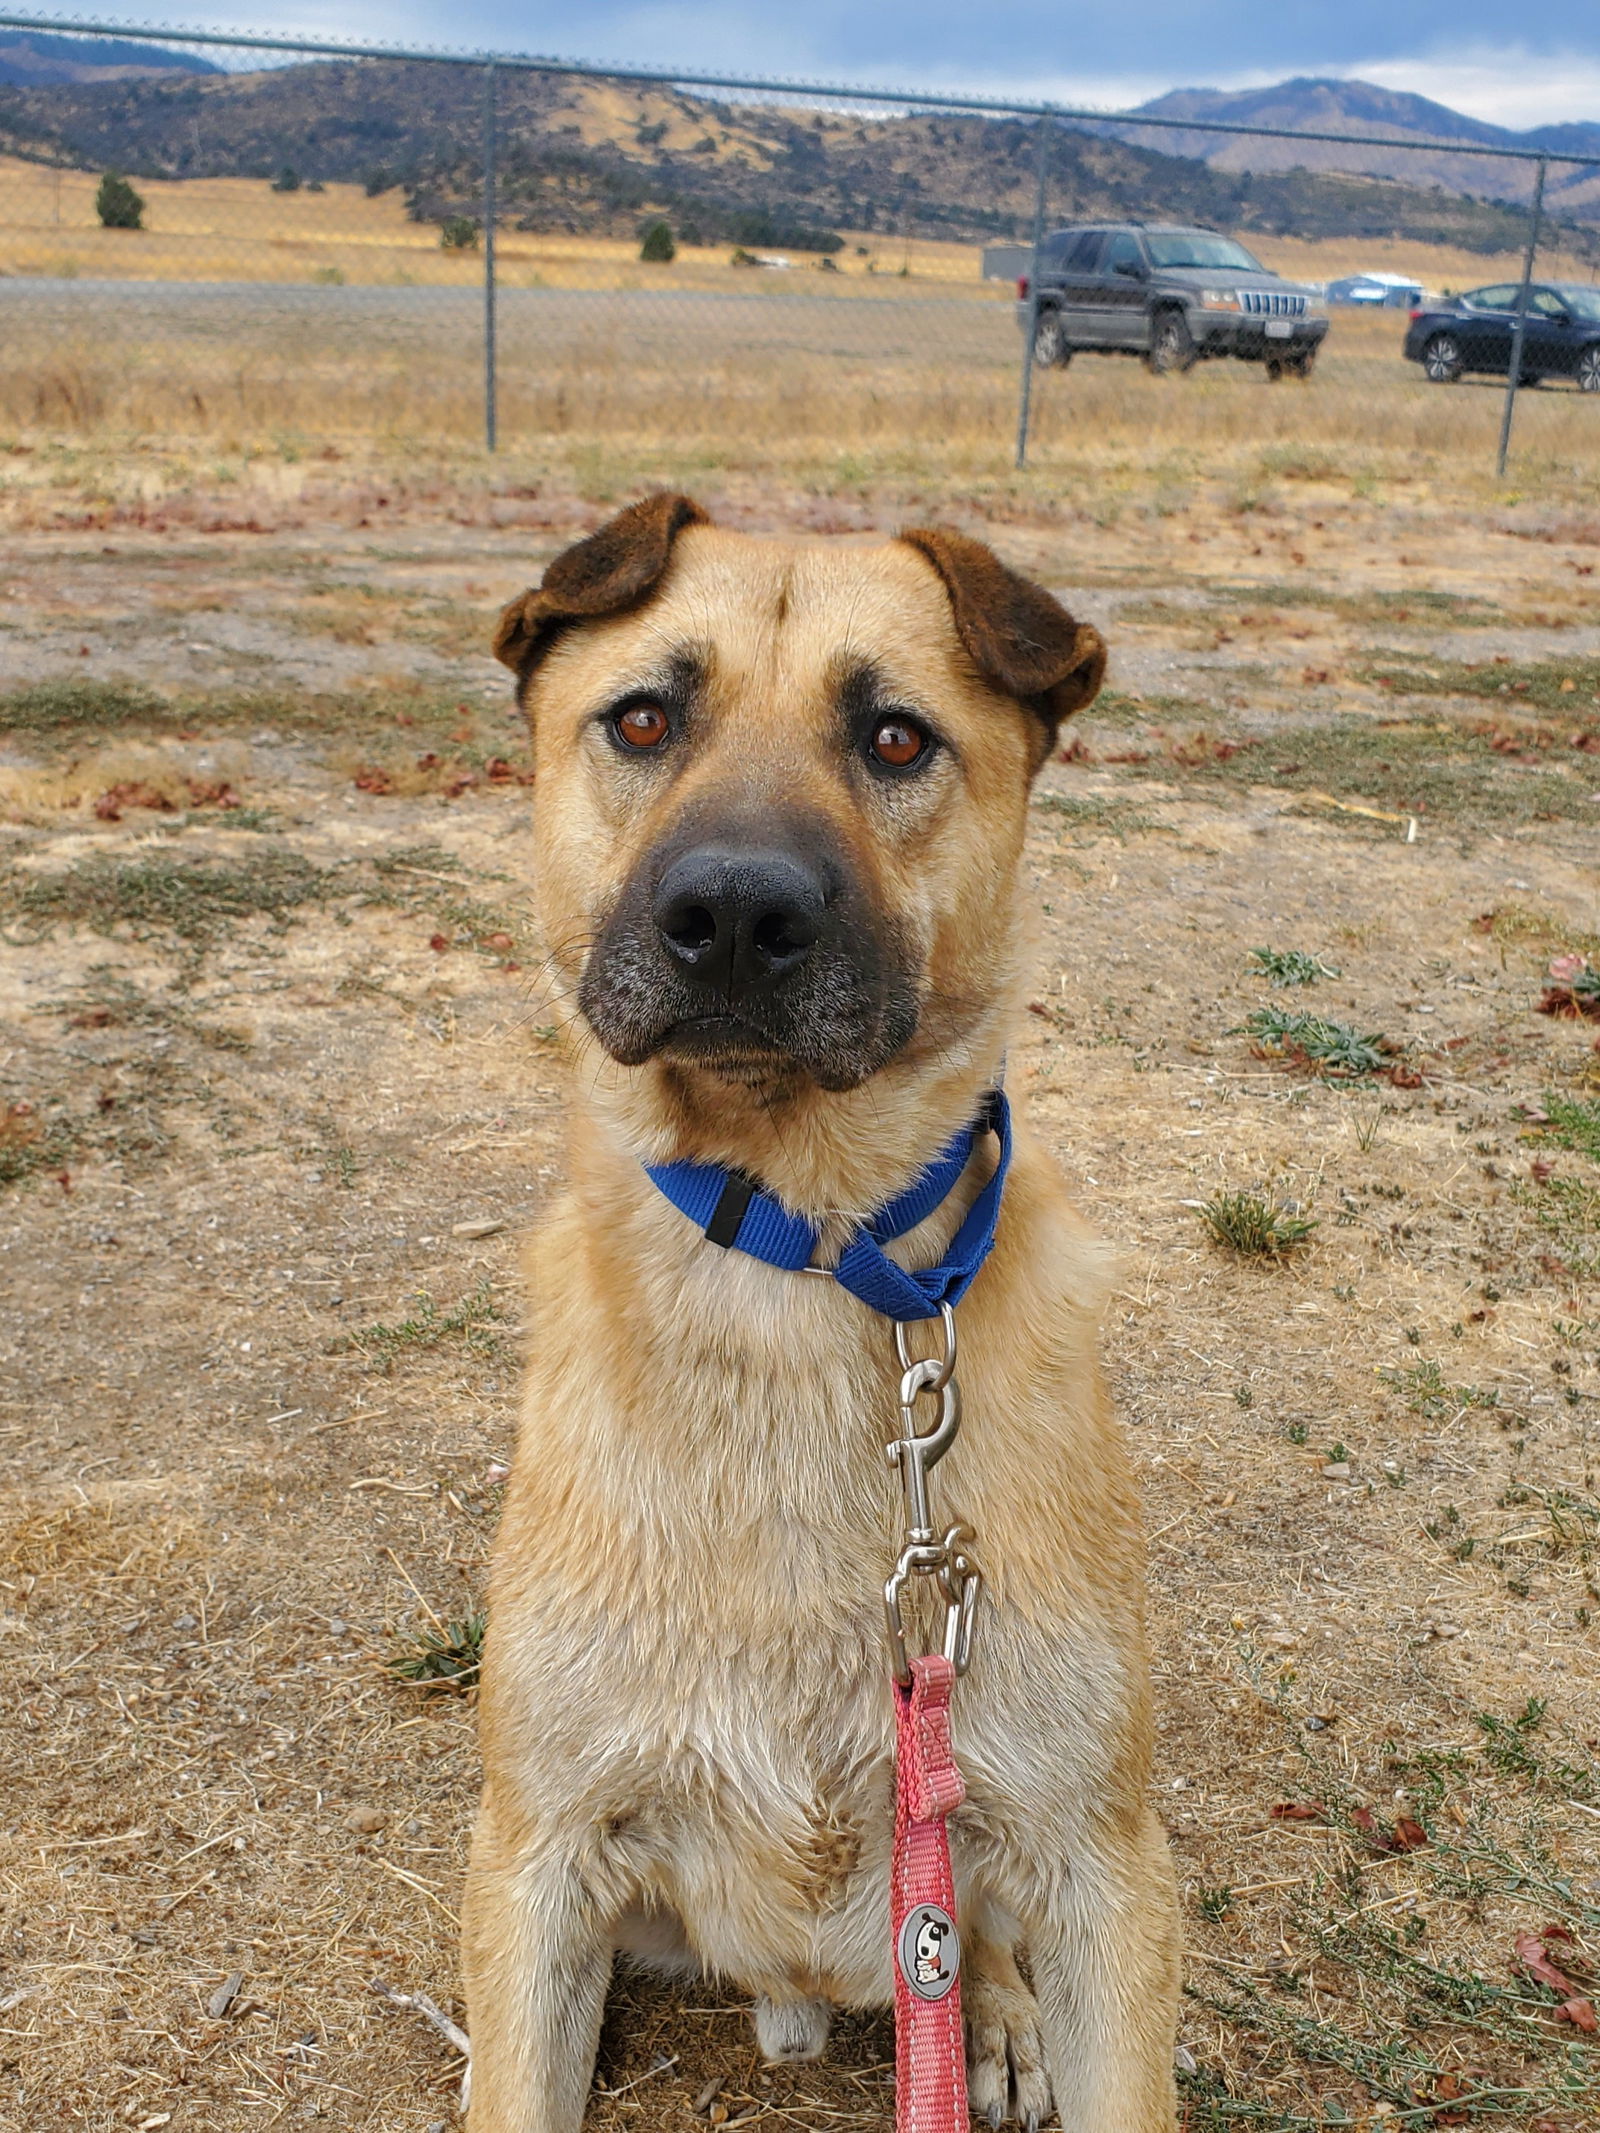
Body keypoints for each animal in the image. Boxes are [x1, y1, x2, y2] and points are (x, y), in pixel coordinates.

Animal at [460, 494, 1177, 2133]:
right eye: (643, 717)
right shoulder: (536, 1856)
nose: (732, 911)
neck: (789, 1263)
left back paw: (994, 2021)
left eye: (896, 739)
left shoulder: (1106, 1872)